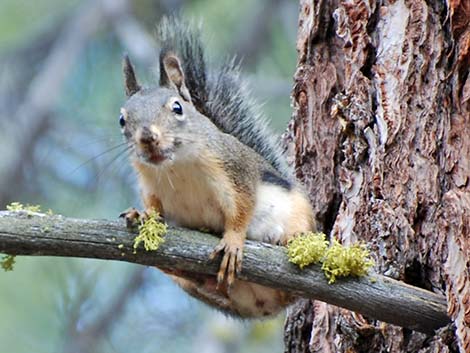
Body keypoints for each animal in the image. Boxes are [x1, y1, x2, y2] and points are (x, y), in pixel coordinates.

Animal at [119, 17, 316, 318]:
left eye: (177, 108)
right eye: (122, 120)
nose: (147, 137)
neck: (176, 168)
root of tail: (269, 304)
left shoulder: (236, 169)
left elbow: (242, 208)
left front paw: (233, 241)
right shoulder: (149, 187)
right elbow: (154, 209)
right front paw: (142, 215)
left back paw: (292, 238)